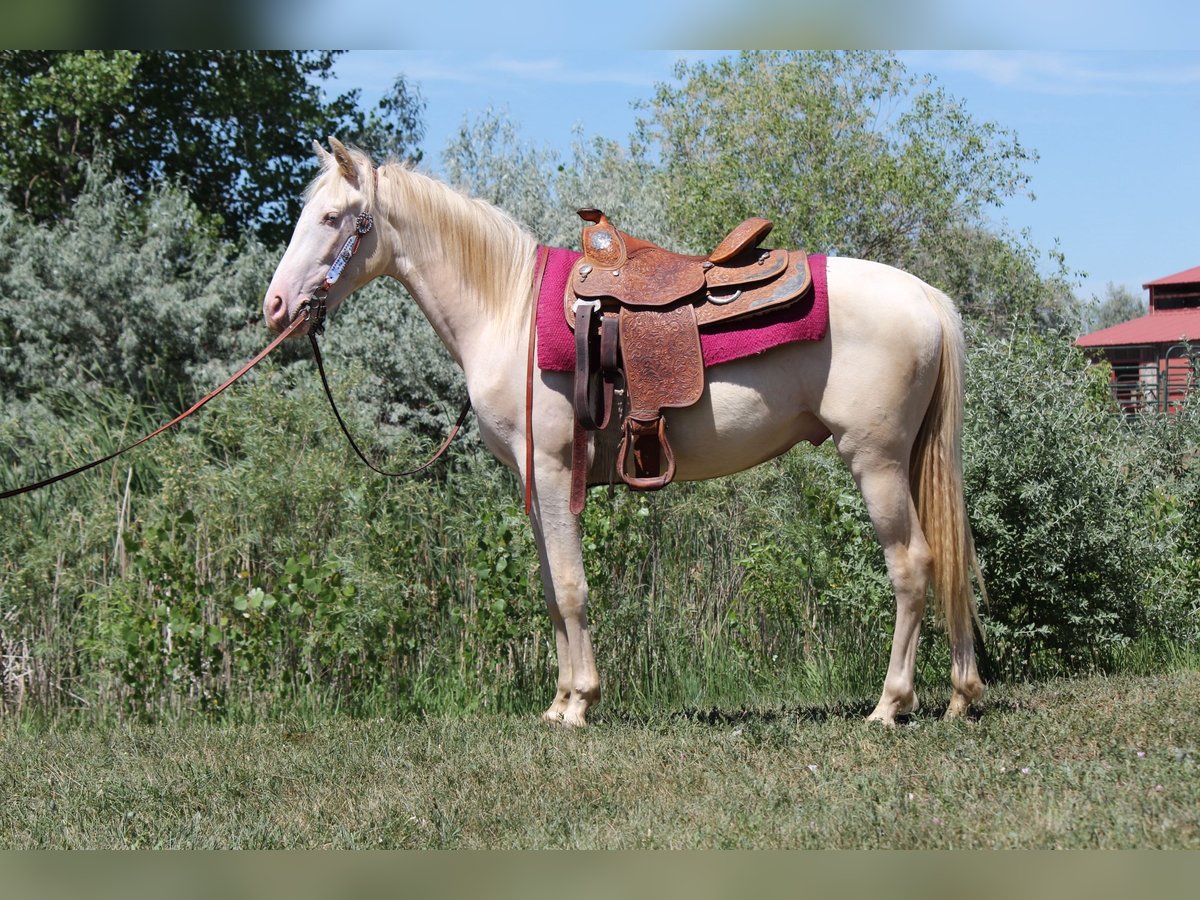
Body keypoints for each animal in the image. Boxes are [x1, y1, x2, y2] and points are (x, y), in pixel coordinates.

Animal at [263, 137, 985, 728]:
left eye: (332, 219)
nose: (275, 307)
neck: (509, 311)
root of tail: (926, 298)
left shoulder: (555, 471)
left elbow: (571, 586)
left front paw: (580, 702)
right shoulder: (534, 483)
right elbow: (551, 588)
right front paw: (558, 701)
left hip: (876, 460)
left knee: (912, 565)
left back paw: (890, 705)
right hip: (909, 460)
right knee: (950, 556)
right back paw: (961, 695)